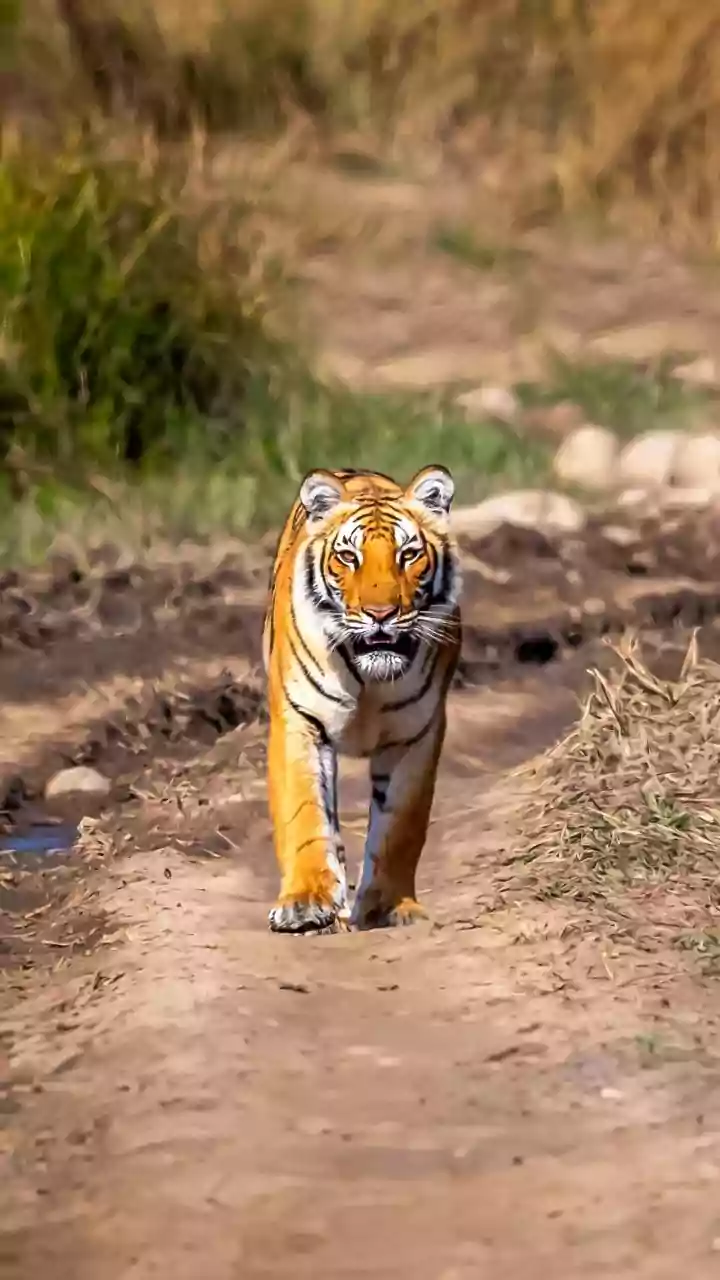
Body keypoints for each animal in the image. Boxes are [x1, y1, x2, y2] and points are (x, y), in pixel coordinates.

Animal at [262, 465, 462, 934]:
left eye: (408, 554)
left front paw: (390, 906)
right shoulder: (300, 722)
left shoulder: (415, 734)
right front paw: (304, 903)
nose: (380, 614)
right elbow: (305, 814)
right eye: (348, 557)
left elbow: (401, 826)